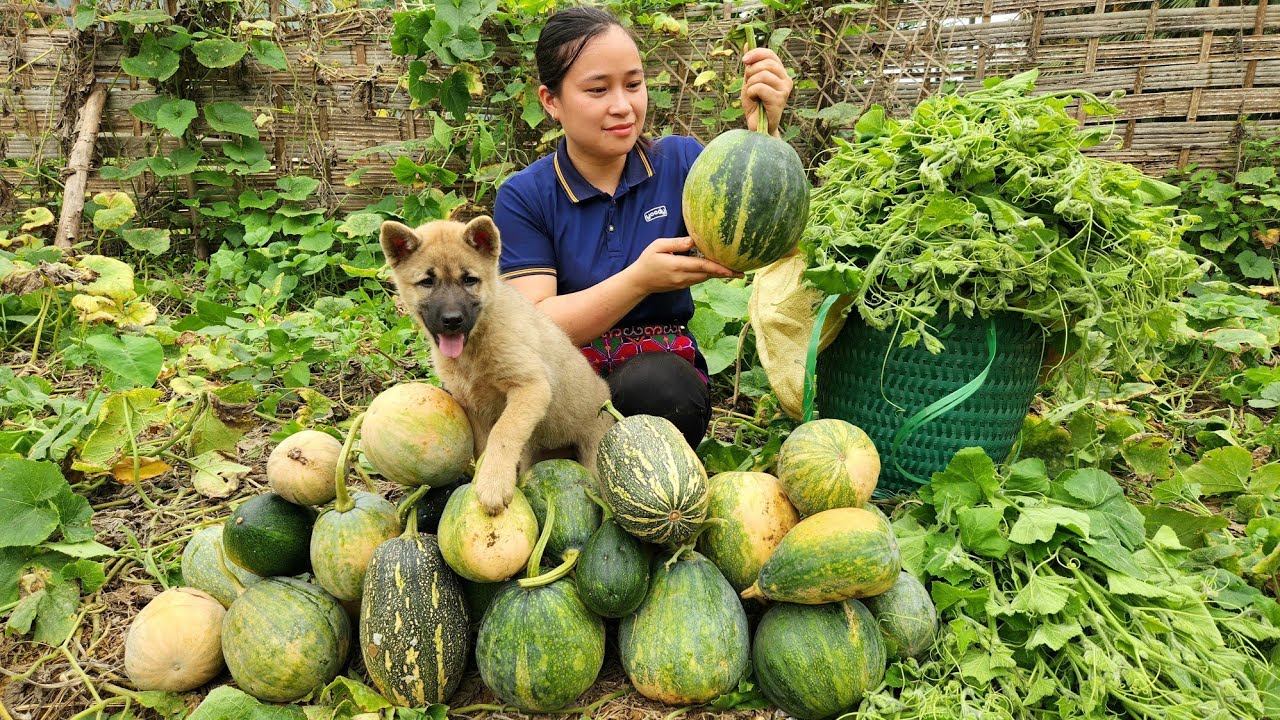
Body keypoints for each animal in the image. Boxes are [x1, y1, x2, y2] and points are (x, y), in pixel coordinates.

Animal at [378, 212, 614, 509]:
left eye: (469, 280)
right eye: (427, 282)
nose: (452, 320)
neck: (475, 346)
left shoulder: (531, 387)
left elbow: (503, 432)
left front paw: (493, 483)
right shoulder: (473, 407)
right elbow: (482, 447)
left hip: (592, 455)